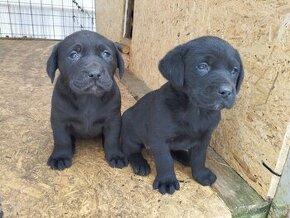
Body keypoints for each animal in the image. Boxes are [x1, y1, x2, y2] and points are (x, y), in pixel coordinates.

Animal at [46, 30, 127, 170]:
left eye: (106, 54)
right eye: (73, 55)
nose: (94, 73)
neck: (88, 99)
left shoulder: (113, 120)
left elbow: (112, 139)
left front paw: (116, 155)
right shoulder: (59, 120)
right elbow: (61, 139)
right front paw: (60, 157)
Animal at [121, 35, 244, 194]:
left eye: (234, 70)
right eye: (202, 66)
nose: (227, 91)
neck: (196, 111)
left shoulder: (204, 137)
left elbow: (199, 158)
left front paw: (201, 175)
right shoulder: (159, 138)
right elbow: (165, 160)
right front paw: (167, 181)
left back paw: (185, 157)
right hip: (131, 129)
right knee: (131, 149)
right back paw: (140, 163)